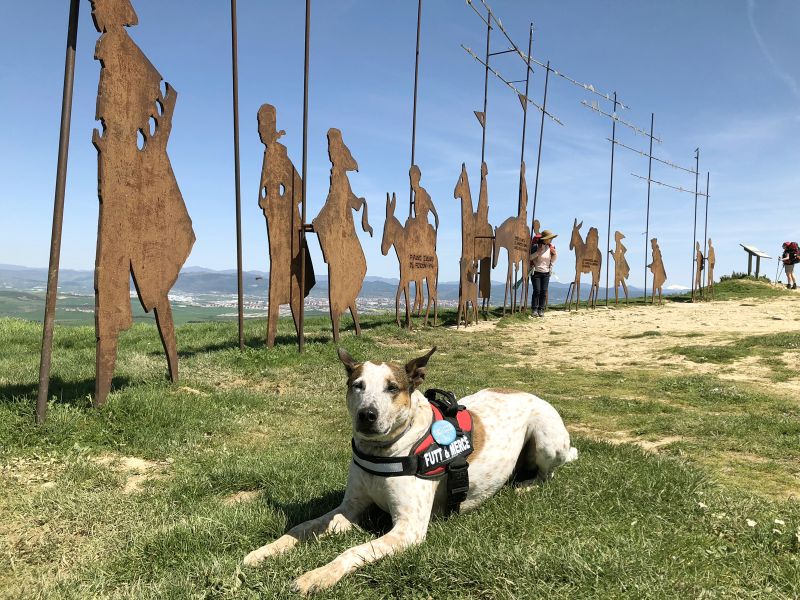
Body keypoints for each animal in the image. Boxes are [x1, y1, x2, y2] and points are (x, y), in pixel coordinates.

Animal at [244, 344, 576, 592]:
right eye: (357, 386)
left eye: (392, 388)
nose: (367, 415)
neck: (384, 450)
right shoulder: (350, 506)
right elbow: (301, 528)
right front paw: (263, 552)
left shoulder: (409, 528)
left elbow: (353, 550)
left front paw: (318, 575)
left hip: (547, 439)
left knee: (549, 472)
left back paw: (526, 485)